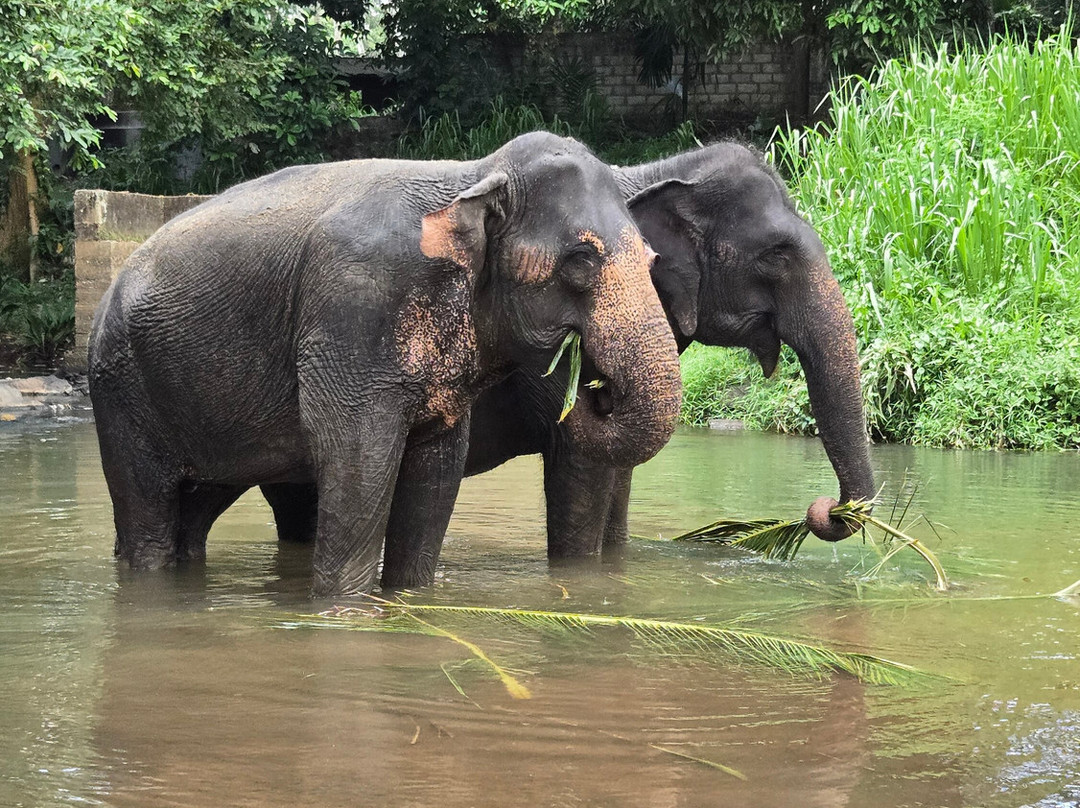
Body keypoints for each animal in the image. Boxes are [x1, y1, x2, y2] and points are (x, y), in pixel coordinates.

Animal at [88, 131, 683, 596]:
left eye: (654, 259)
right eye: (581, 261)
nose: (590, 384)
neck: (472, 176)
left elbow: (437, 470)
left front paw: (412, 602)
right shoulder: (353, 312)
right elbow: (357, 456)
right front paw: (345, 613)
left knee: (192, 515)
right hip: (120, 390)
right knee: (148, 520)